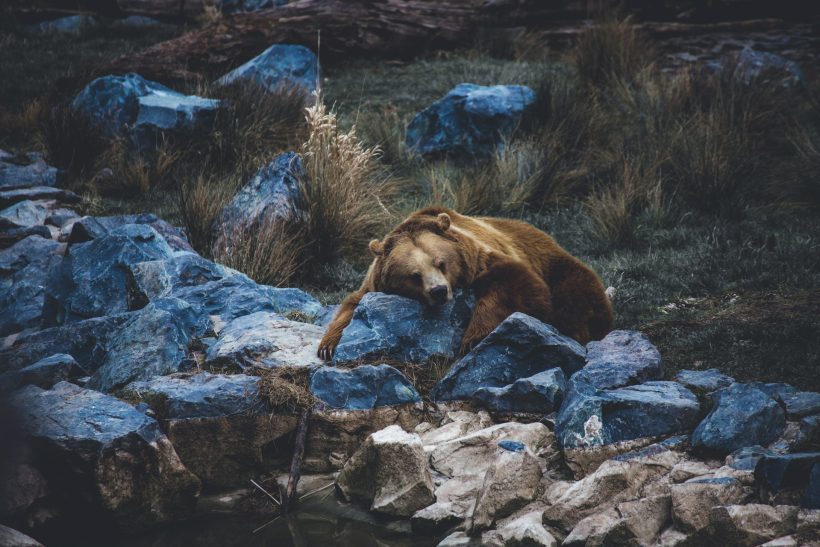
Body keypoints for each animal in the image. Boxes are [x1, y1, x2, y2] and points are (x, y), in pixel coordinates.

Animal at [318, 207, 612, 360]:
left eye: (441, 262)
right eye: (414, 275)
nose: (438, 291)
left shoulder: (481, 258)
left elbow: (516, 286)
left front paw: (472, 338)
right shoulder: (374, 284)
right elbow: (350, 306)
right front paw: (328, 346)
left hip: (552, 261)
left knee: (577, 296)